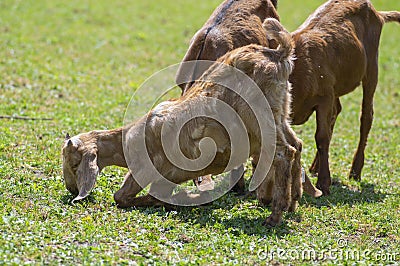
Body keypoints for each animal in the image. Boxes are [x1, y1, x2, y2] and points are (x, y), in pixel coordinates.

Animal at [62, 19, 300, 227]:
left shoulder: (144, 169)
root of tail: (278, 55)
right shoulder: (167, 177)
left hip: (258, 118)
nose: (71, 190)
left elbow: (120, 197)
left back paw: (274, 216)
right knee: (296, 144)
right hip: (280, 112)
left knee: (283, 152)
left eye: (74, 163)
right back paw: (292, 203)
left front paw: (183, 198)